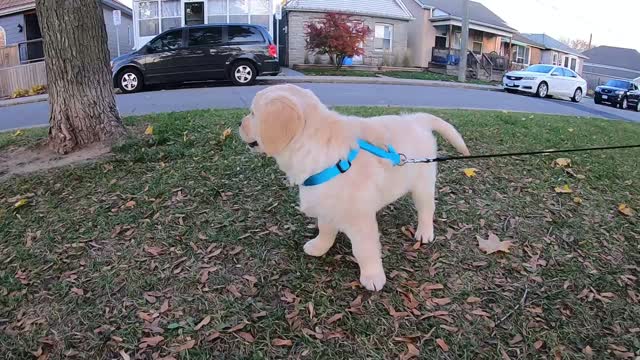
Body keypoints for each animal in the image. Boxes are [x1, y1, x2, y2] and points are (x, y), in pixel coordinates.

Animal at [240, 85, 470, 292]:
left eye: (253, 113)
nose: (239, 124)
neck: (315, 149)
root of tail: (416, 119)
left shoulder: (360, 221)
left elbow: (364, 250)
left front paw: (373, 277)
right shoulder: (327, 204)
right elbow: (325, 230)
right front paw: (319, 247)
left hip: (422, 184)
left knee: (426, 209)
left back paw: (424, 232)